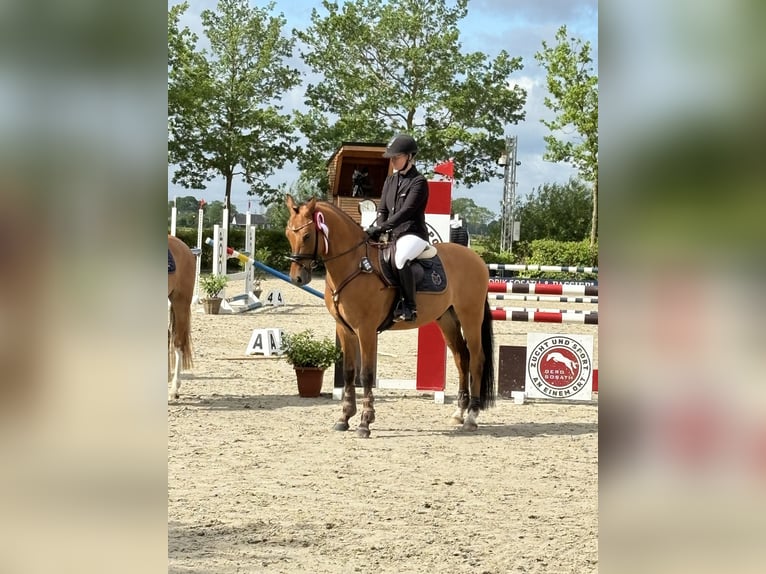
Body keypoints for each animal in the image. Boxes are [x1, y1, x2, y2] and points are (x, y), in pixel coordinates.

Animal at [284, 196, 496, 438]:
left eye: (307, 236)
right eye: (288, 234)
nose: (297, 278)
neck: (354, 263)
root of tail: (476, 259)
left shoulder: (366, 330)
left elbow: (366, 374)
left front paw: (365, 422)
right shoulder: (344, 329)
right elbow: (348, 372)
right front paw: (344, 418)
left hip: (470, 316)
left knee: (477, 359)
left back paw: (471, 416)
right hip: (447, 320)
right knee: (462, 358)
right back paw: (459, 414)